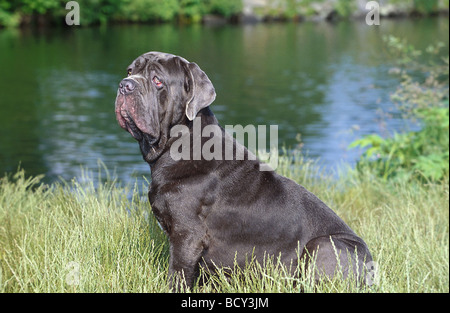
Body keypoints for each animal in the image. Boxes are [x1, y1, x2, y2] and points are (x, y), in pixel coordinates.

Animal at [115, 51, 372, 290]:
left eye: (157, 80)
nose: (125, 84)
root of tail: (371, 269)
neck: (179, 143)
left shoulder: (187, 235)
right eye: (129, 71)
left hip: (324, 245)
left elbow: (177, 274)